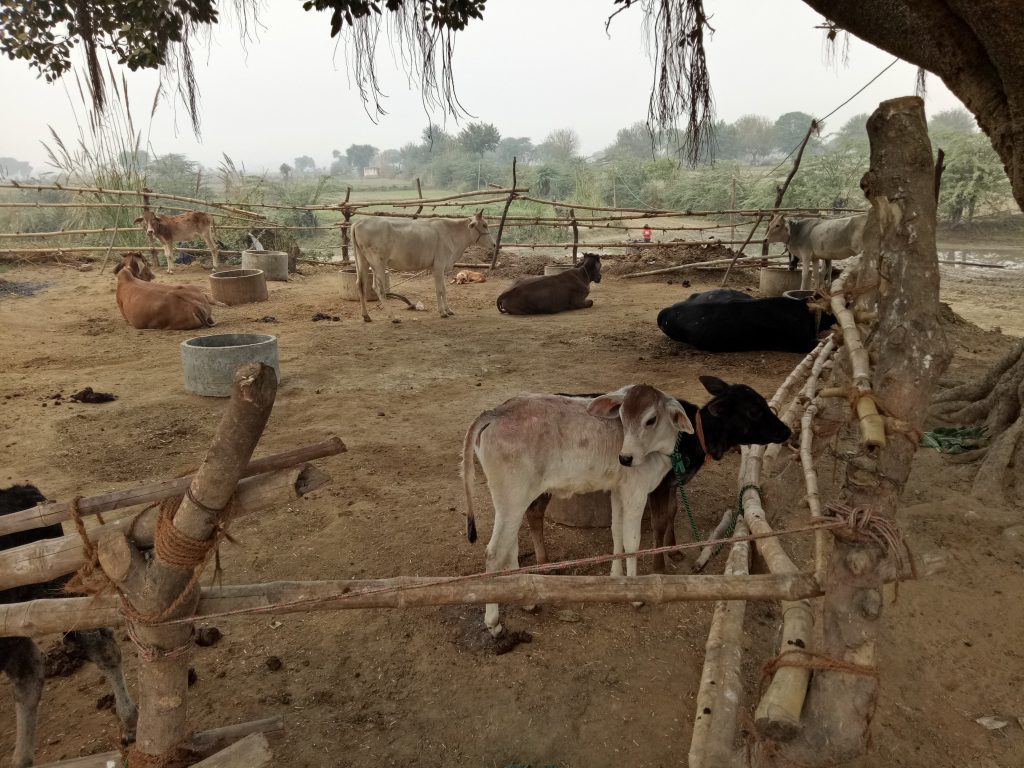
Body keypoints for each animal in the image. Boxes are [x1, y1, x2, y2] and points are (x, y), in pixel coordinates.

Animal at [354, 211, 493, 323]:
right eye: (484, 225)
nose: (494, 244)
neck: (453, 234)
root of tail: (359, 222)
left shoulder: (440, 267)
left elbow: (444, 289)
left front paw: (448, 310)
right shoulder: (439, 265)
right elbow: (439, 290)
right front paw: (442, 312)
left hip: (364, 261)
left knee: (361, 285)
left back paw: (366, 316)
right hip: (378, 263)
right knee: (379, 288)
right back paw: (393, 317)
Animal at [464, 385, 696, 638]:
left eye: (651, 419)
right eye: (622, 416)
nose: (624, 458)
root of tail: (496, 411)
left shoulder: (618, 490)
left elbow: (616, 532)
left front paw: (616, 579)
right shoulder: (636, 491)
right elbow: (632, 541)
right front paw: (635, 596)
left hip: (512, 502)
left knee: (509, 548)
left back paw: (526, 602)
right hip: (513, 498)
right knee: (494, 553)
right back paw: (494, 622)